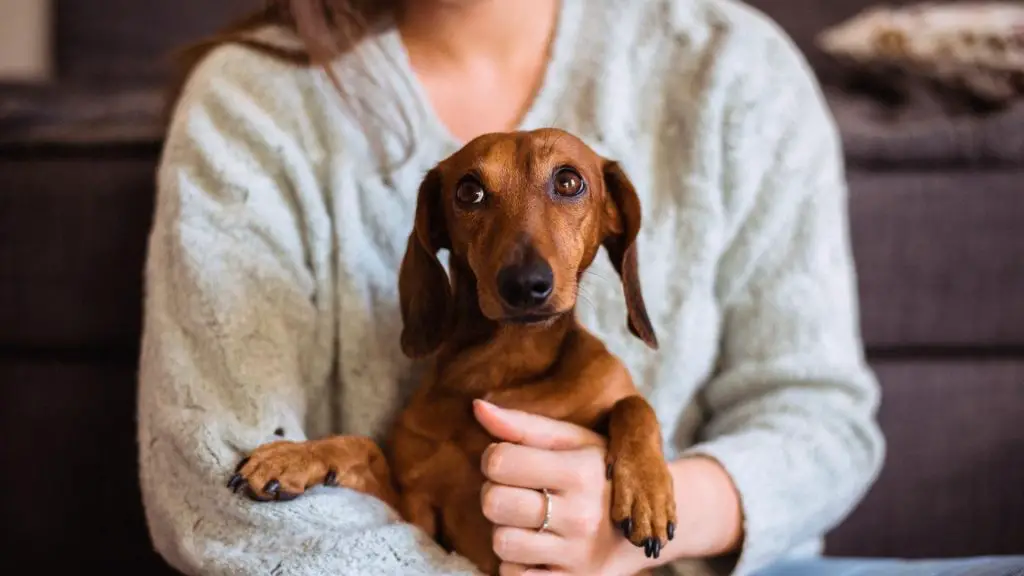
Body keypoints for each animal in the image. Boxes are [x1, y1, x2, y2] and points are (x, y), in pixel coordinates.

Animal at [228, 127, 675, 569]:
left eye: (568, 181)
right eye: (468, 192)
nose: (524, 283)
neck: (505, 367)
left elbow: (634, 405)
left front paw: (647, 491)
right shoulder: (417, 514)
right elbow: (364, 447)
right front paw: (294, 455)